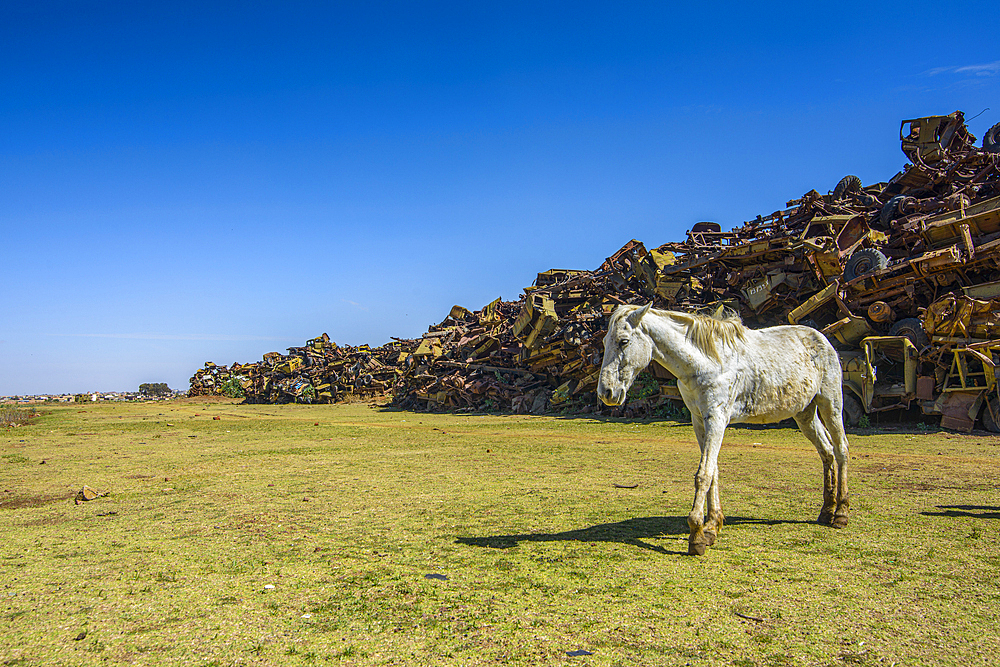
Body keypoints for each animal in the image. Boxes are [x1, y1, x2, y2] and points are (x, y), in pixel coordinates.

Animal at [596, 306, 848, 556]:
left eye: (624, 341)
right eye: (605, 341)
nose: (606, 393)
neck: (705, 363)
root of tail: (822, 338)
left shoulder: (717, 419)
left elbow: (703, 474)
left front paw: (696, 535)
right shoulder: (699, 421)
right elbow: (713, 472)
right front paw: (712, 527)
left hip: (830, 405)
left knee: (841, 449)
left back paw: (841, 514)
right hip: (805, 414)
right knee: (826, 452)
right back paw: (826, 511)